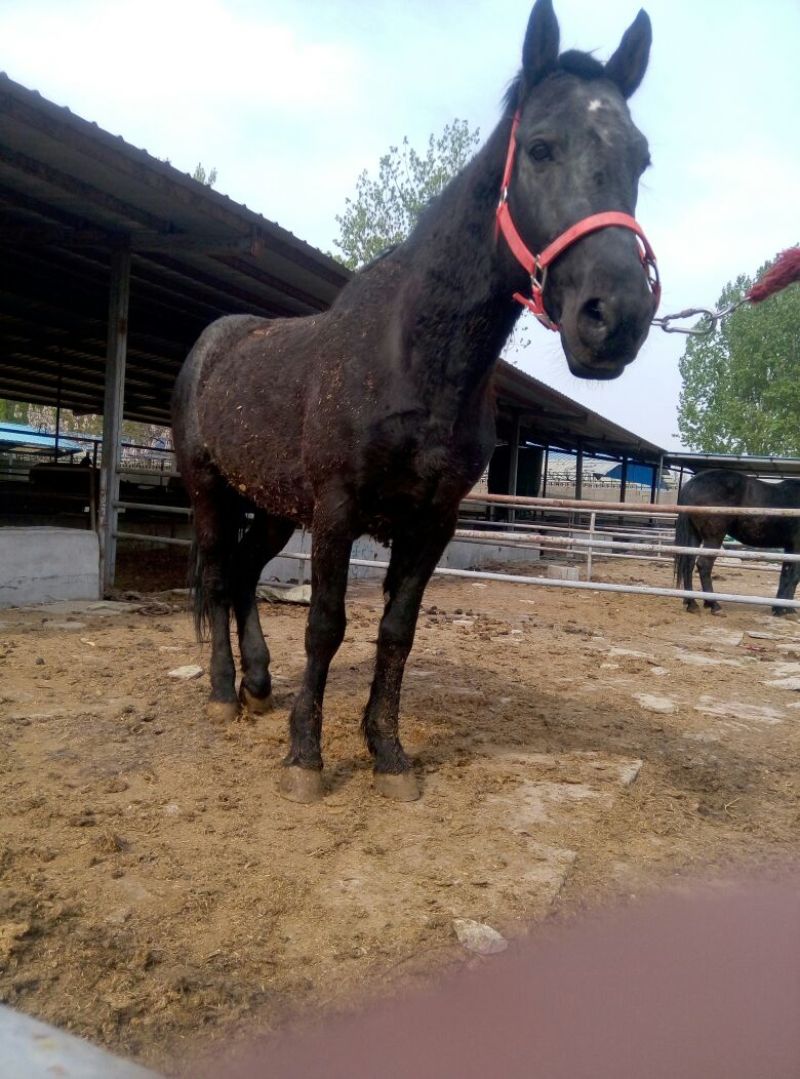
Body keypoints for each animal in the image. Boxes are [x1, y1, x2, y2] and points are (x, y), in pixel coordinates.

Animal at [171, 0, 659, 803]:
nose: (614, 316)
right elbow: (327, 624)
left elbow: (396, 630)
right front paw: (306, 758)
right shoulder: (337, 509)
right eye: (542, 147)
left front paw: (389, 754)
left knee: (242, 576)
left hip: (275, 505)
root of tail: (213, 345)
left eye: (641, 159)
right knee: (216, 575)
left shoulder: (433, 521)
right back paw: (221, 695)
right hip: (211, 489)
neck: (412, 357)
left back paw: (259, 686)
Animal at [674, 468, 800, 616]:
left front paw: (779, 608)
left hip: (694, 535)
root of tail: (692, 483)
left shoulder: (789, 547)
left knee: (688, 564)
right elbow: (794, 577)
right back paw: (714, 605)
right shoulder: (797, 547)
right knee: (704, 565)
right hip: (713, 537)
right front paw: (788, 610)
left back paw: (691, 603)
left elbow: (785, 576)